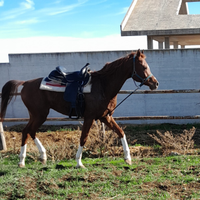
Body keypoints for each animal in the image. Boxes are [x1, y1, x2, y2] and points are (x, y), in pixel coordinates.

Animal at [0, 49, 159, 167]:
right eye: (144, 66)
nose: (155, 83)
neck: (102, 85)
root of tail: (26, 83)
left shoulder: (105, 117)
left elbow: (121, 132)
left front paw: (128, 158)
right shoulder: (90, 117)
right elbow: (83, 138)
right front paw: (79, 162)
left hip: (36, 115)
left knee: (29, 131)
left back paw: (40, 157)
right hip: (40, 114)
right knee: (27, 131)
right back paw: (22, 161)